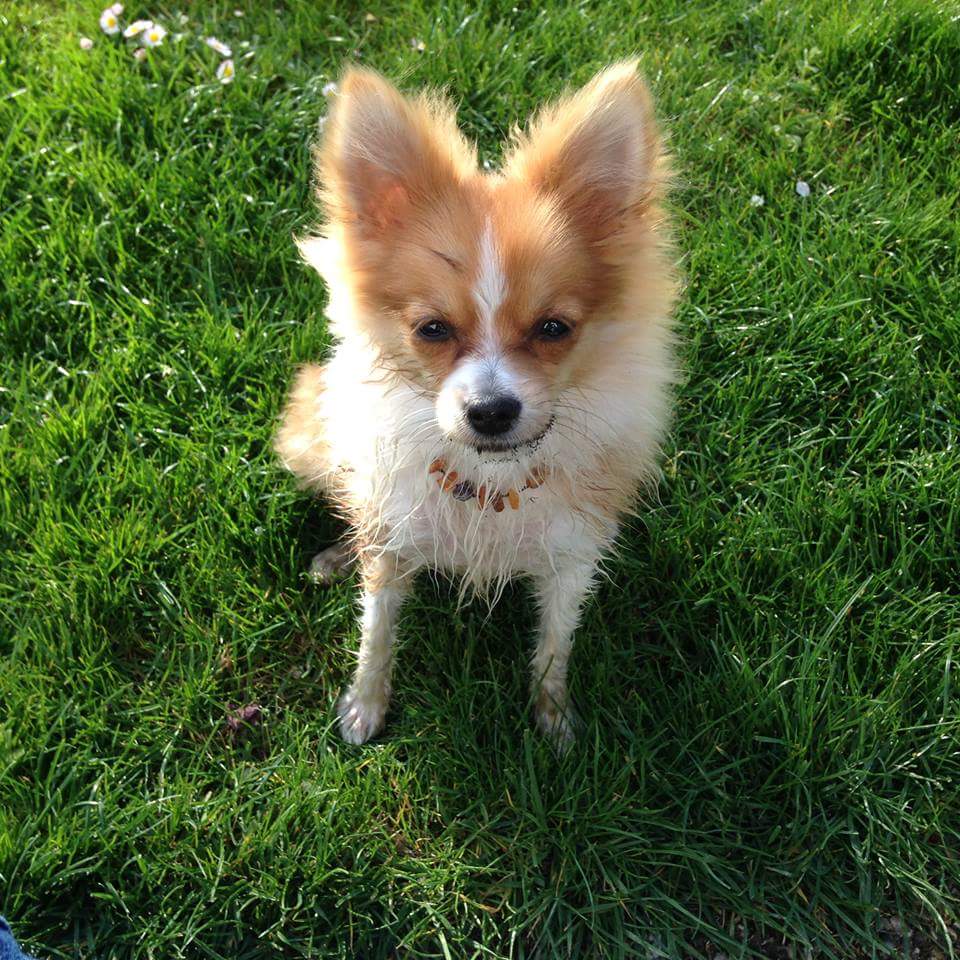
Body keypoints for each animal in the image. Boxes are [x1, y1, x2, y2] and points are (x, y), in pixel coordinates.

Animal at [276, 61, 678, 746]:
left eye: (553, 328)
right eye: (433, 329)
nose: (491, 410)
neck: (491, 482)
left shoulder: (572, 558)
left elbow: (554, 645)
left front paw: (554, 719)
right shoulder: (392, 545)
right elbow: (376, 632)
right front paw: (365, 706)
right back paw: (336, 554)